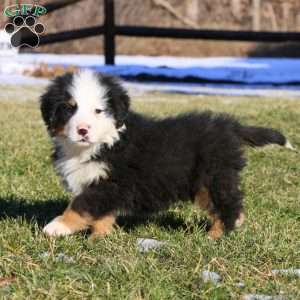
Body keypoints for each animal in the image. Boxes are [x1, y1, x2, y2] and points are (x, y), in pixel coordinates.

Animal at [39, 69, 290, 240]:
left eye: (98, 111)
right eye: (69, 108)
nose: (83, 130)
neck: (103, 143)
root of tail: (230, 126)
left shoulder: (111, 182)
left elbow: (80, 205)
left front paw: (57, 226)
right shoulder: (103, 186)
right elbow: (100, 213)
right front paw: (100, 238)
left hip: (213, 176)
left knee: (227, 205)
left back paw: (214, 237)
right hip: (206, 183)